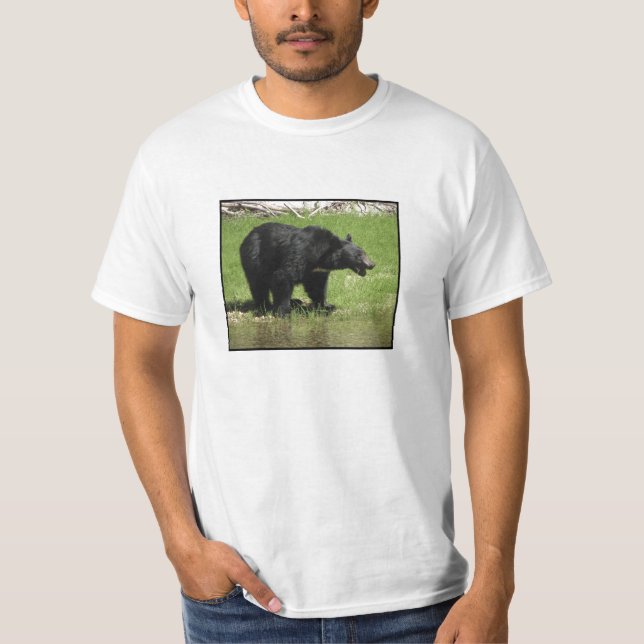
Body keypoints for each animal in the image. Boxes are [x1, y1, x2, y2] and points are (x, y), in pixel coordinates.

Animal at [239, 222, 375, 317]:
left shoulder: (316, 271)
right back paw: (264, 306)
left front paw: (326, 305)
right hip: (256, 258)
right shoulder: (299, 256)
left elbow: (317, 287)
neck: (319, 255)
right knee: (258, 284)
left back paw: (295, 301)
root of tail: (247, 236)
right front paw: (284, 311)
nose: (372, 264)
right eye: (358, 255)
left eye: (364, 252)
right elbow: (283, 276)